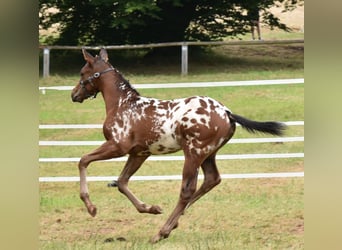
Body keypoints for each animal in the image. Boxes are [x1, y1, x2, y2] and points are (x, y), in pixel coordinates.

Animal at [71, 47, 286, 243]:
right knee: (211, 180)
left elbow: (83, 161)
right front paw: (151, 208)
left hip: (193, 153)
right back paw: (172, 223)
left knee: (187, 191)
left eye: (82, 72)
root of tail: (227, 113)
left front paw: (91, 207)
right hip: (208, 154)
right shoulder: (139, 153)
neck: (122, 104)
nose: (74, 94)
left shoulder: (117, 146)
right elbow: (122, 182)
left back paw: (161, 232)